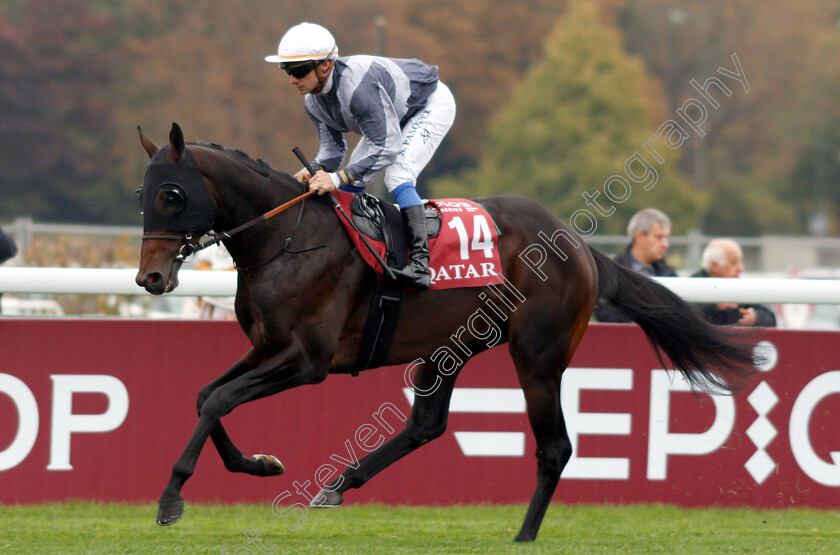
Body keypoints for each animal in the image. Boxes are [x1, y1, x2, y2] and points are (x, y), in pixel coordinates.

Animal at [136, 122, 756, 544]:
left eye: (172, 195)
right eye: (143, 197)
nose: (150, 278)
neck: (286, 238)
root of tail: (579, 245)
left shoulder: (306, 360)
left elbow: (219, 400)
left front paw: (170, 497)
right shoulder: (266, 346)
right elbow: (207, 396)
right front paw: (259, 464)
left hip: (538, 356)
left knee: (555, 446)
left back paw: (523, 535)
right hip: (450, 347)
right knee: (426, 425)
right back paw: (341, 482)